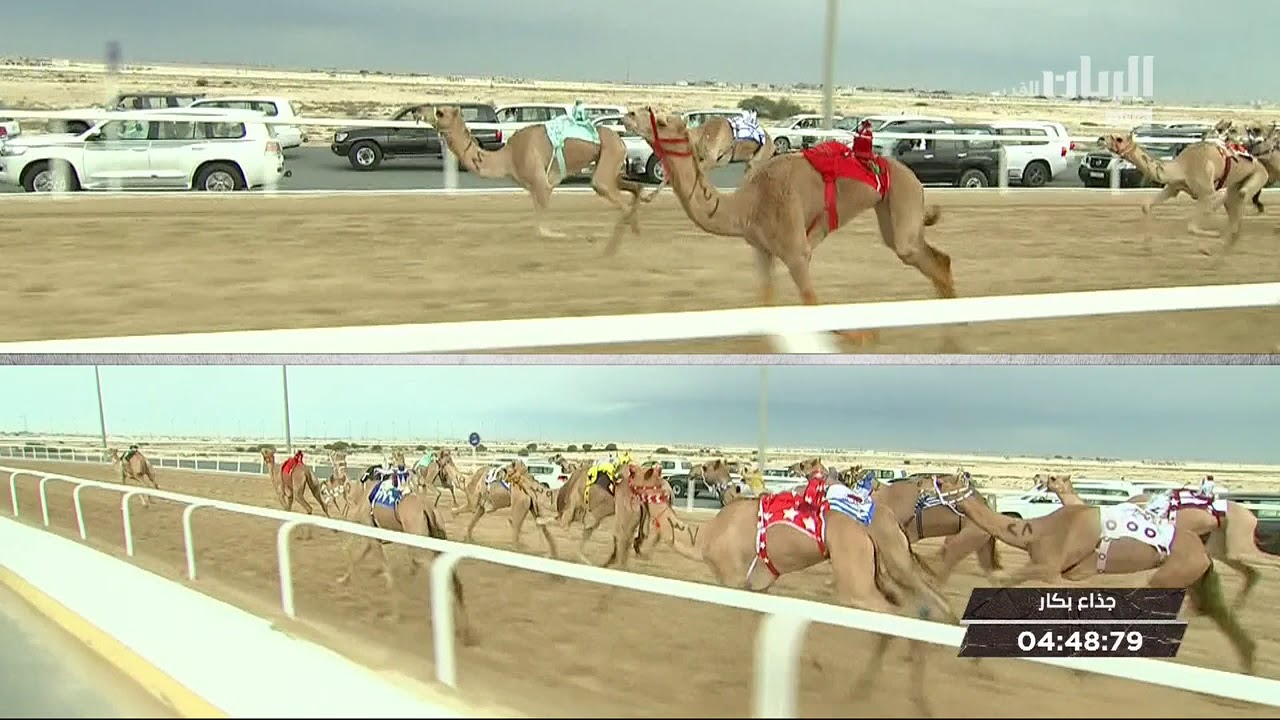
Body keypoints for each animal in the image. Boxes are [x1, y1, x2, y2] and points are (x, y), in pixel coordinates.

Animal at [336, 458, 475, 644]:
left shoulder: (371, 535)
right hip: (437, 536)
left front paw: (394, 615)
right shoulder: (372, 538)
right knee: (454, 579)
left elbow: (386, 573)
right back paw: (466, 632)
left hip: (419, 543)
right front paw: (343, 580)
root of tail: (427, 509)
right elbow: (358, 558)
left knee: (437, 573)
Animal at [426, 106, 644, 249]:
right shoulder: (534, 187)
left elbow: (542, 230)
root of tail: (622, 141)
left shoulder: (541, 184)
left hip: (609, 157)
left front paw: (563, 235)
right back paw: (637, 225)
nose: (419, 109)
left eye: (440, 112)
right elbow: (537, 225)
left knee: (613, 194)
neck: (508, 156)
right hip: (610, 164)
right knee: (632, 187)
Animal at [1037, 473, 1264, 609]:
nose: (1038, 476)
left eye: (1053, 477)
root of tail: (1252, 517)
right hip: (1219, 547)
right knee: (1247, 572)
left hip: (1232, 542)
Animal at [1102, 132, 1270, 254]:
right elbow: (1146, 206)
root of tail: (1262, 165)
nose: (1101, 139)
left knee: (1241, 198)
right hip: (1235, 185)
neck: (1183, 167)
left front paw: (1209, 243)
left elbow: (1193, 226)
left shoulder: (1208, 192)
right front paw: (1147, 246)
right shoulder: (1173, 188)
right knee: (1233, 210)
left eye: (1119, 138)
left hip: (1258, 177)